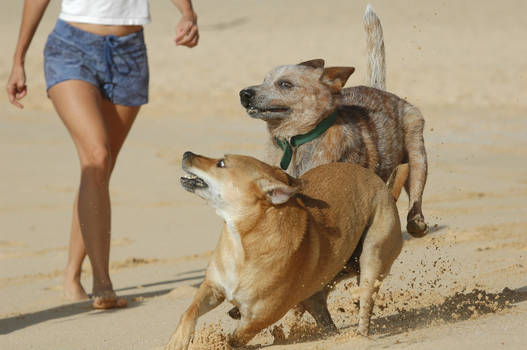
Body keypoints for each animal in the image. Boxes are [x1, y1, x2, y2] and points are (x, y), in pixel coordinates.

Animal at [166, 153, 404, 350]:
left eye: (221, 163)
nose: (187, 153)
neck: (243, 241)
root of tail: (384, 186)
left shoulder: (259, 318)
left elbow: (236, 338)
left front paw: (224, 342)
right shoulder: (213, 287)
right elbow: (189, 312)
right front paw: (177, 341)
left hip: (372, 258)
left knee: (365, 303)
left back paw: (358, 336)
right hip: (317, 293)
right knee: (324, 317)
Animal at [241, 5, 432, 237]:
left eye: (285, 84)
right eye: (264, 80)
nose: (244, 93)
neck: (296, 141)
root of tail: (381, 90)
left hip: (417, 151)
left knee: (416, 191)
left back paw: (416, 222)